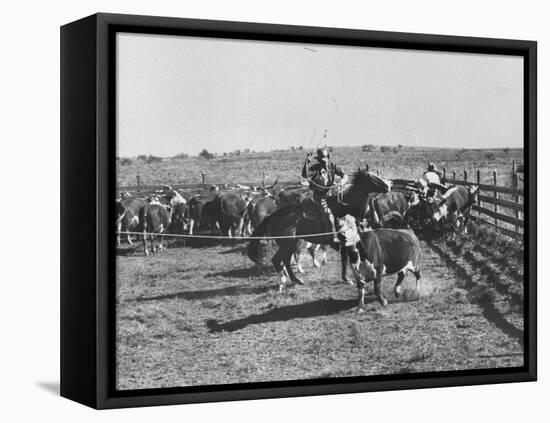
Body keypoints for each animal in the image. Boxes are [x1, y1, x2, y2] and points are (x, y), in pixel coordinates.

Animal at [250, 169, 392, 292]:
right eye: (370, 177)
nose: (388, 186)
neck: (345, 209)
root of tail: (272, 216)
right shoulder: (344, 242)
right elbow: (345, 260)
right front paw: (347, 279)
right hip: (287, 243)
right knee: (277, 260)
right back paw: (282, 282)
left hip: (290, 243)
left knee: (285, 259)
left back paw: (296, 280)